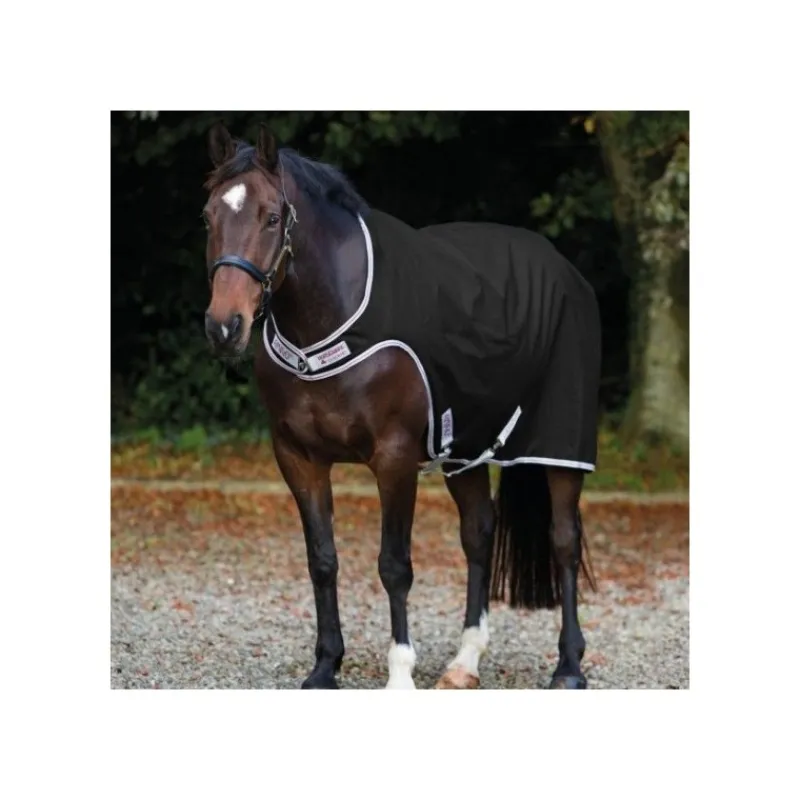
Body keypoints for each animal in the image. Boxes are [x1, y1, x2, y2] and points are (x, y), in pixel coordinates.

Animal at [202, 122, 600, 689]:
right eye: (208, 216)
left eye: (272, 217)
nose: (224, 326)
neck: (333, 320)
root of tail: (563, 267)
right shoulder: (298, 458)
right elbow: (322, 560)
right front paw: (325, 666)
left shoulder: (393, 459)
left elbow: (394, 565)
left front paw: (399, 674)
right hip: (465, 451)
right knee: (479, 534)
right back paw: (464, 662)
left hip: (561, 444)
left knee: (564, 540)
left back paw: (568, 666)